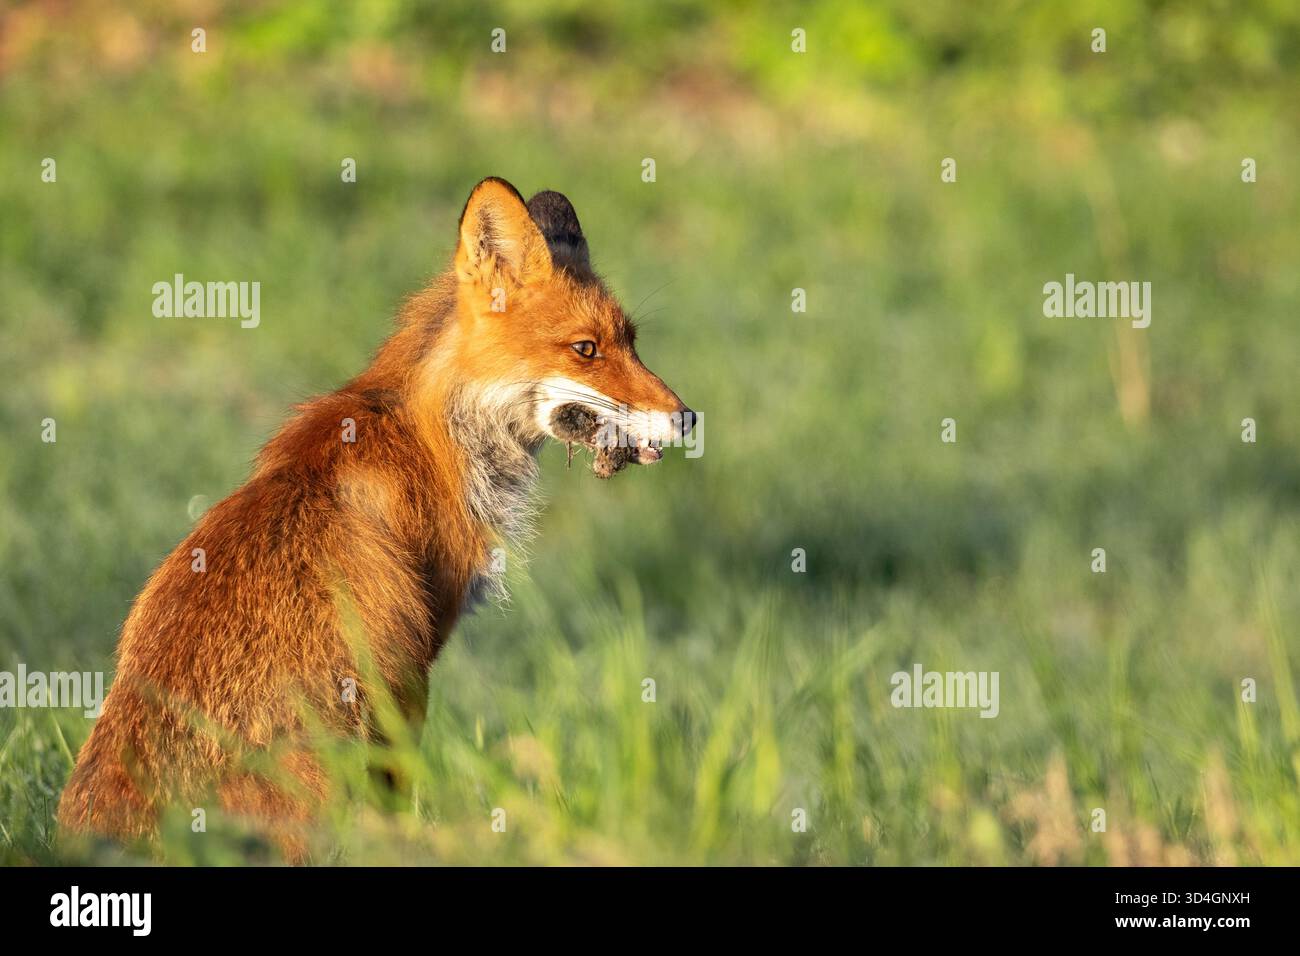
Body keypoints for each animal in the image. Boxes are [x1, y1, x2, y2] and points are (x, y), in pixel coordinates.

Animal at [57, 177, 693, 854]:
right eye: (585, 349)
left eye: (631, 343)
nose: (687, 418)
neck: (433, 439)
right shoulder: (408, 669)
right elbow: (397, 798)